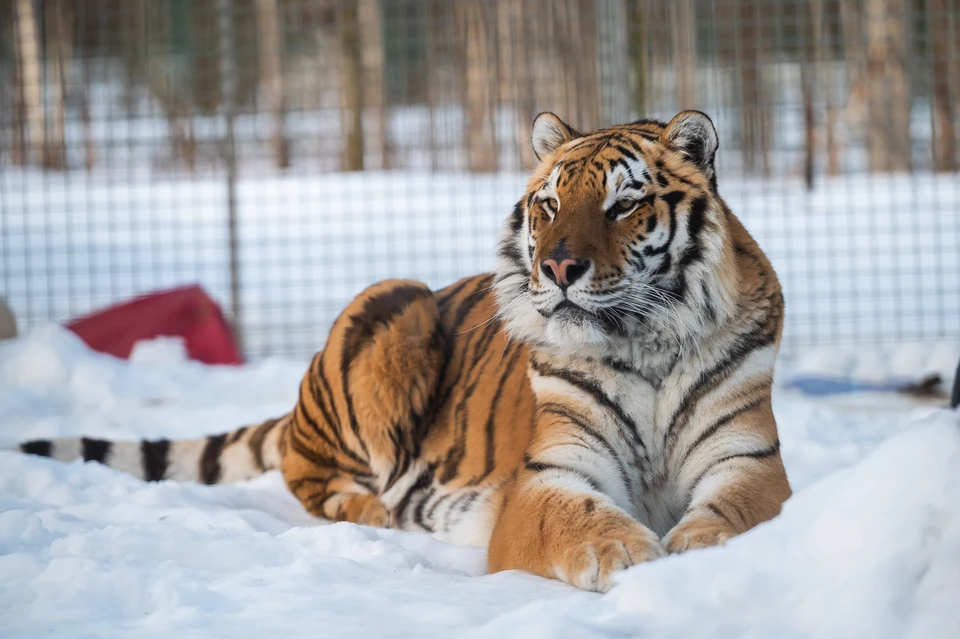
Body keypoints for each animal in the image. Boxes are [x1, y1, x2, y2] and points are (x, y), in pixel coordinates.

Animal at [15, 111, 792, 596]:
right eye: (548, 204)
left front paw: (698, 552)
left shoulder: (748, 461)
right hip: (392, 302)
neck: (644, 341)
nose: (558, 268)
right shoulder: (547, 477)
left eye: (622, 204)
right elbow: (583, 518)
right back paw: (374, 511)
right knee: (309, 476)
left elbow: (737, 515)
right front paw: (631, 555)